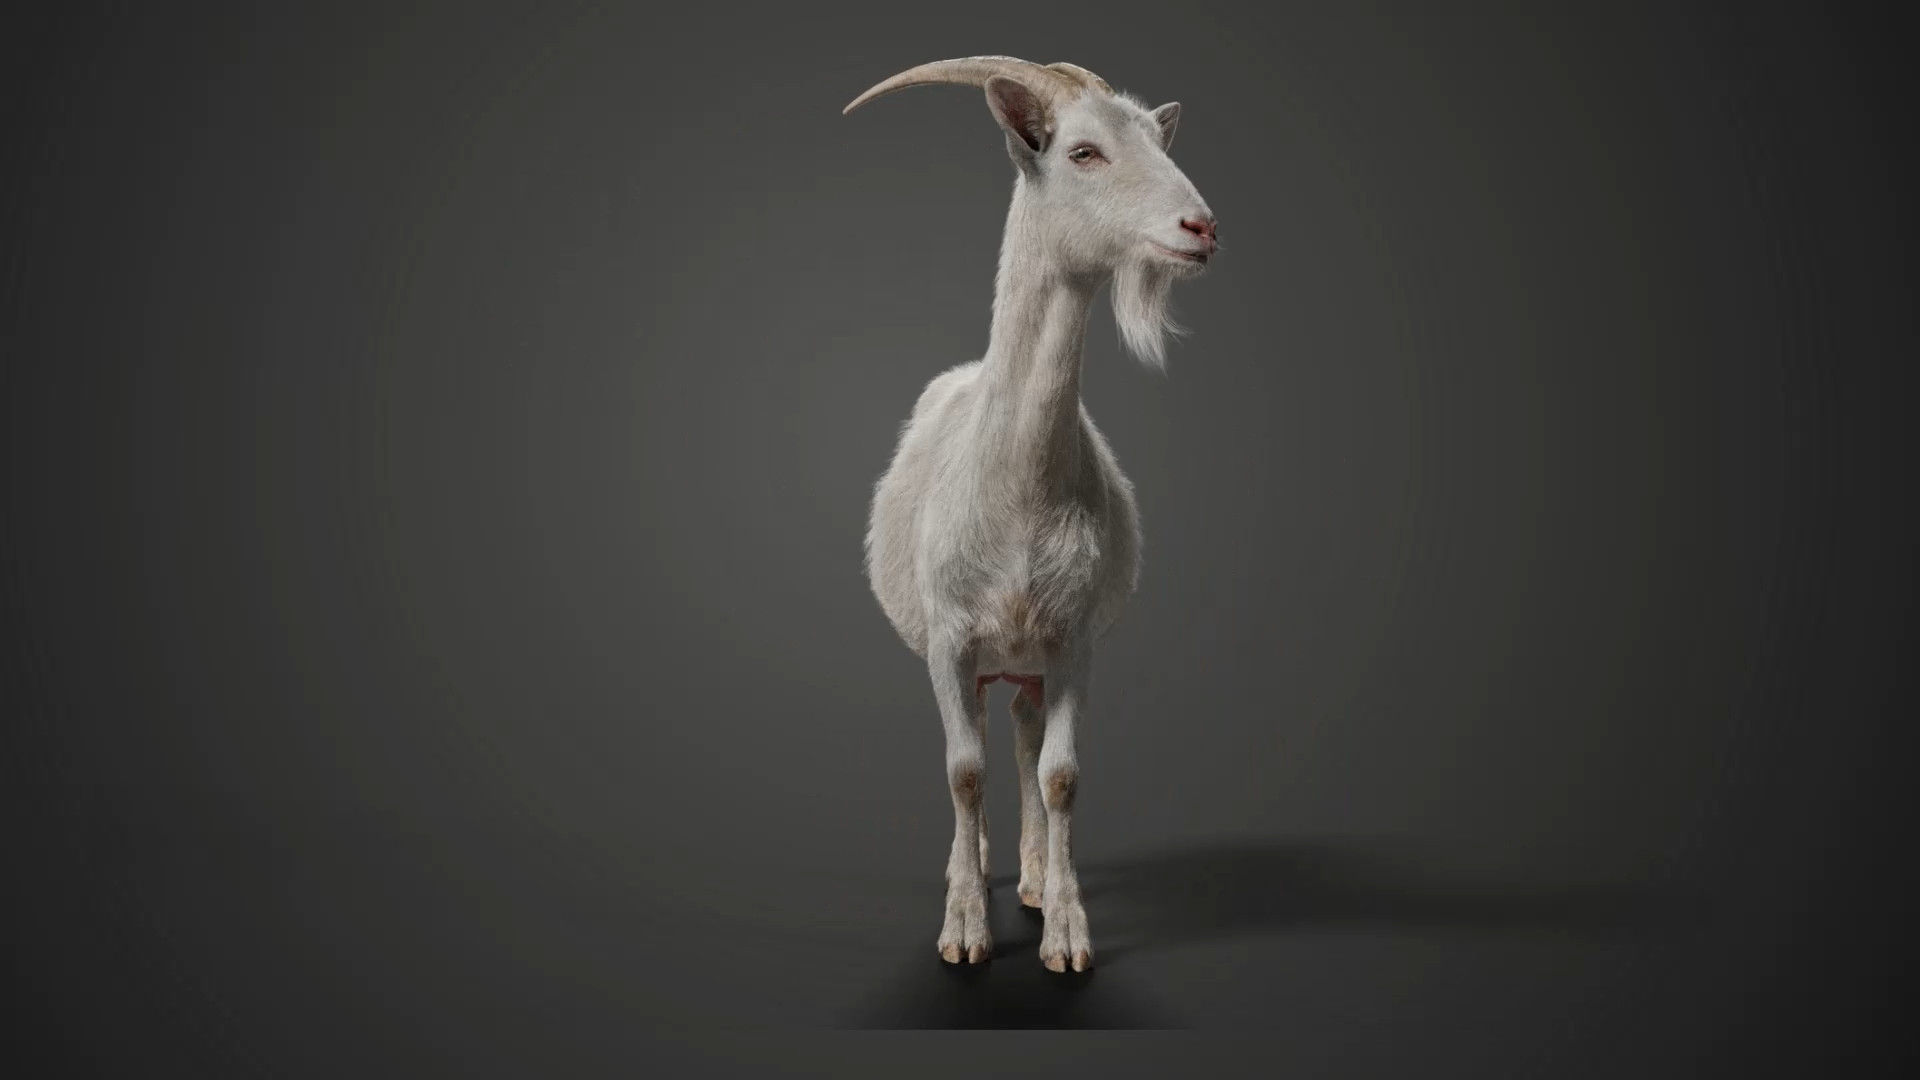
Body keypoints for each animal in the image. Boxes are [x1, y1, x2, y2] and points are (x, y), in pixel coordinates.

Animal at [845, 56, 1218, 971]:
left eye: (1158, 140)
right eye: (1082, 152)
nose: (1200, 226)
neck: (1016, 491)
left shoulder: (1072, 639)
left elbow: (1059, 774)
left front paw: (1067, 930)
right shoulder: (950, 639)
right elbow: (962, 771)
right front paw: (964, 927)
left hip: (1029, 660)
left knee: (1020, 729)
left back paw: (1034, 876)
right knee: (982, 739)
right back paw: (974, 866)